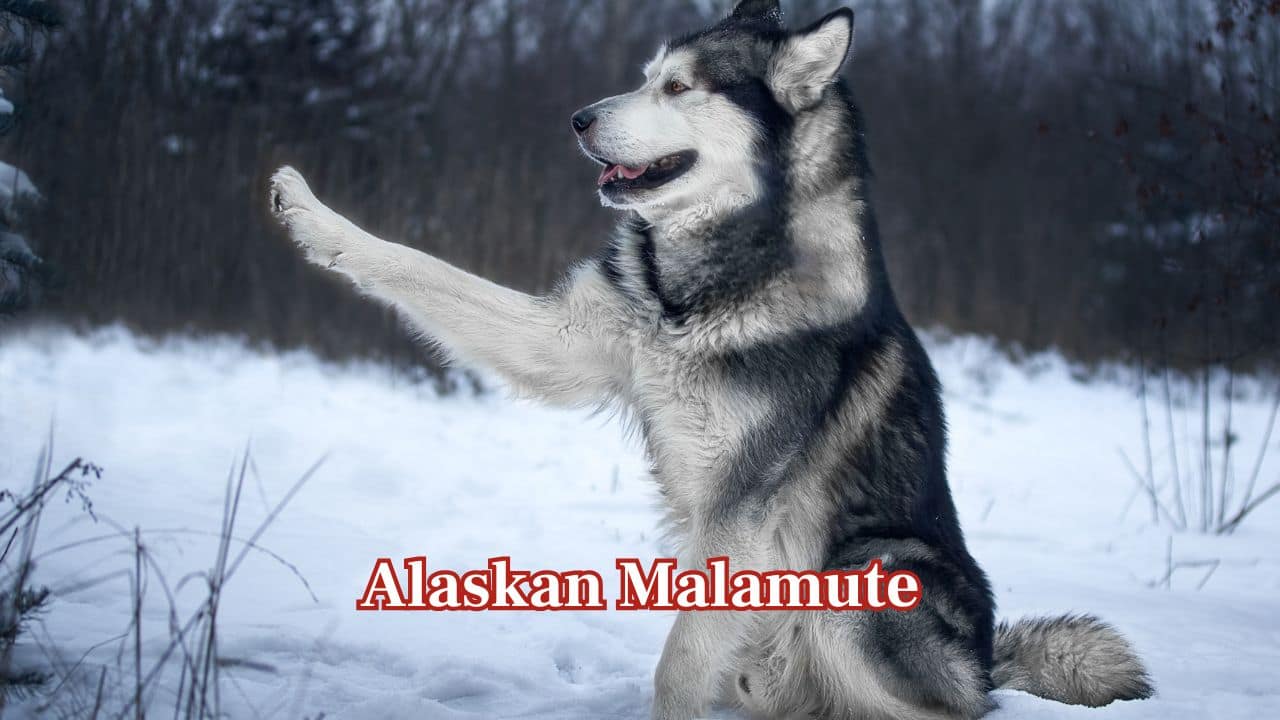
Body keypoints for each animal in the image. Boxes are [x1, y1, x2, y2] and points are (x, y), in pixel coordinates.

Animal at [268, 1, 1153, 717]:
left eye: (679, 88)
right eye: (645, 79)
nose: (578, 119)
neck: (699, 295)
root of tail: (985, 666)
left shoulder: (741, 514)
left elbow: (678, 663)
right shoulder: (568, 342)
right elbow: (414, 264)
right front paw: (311, 216)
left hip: (856, 581)